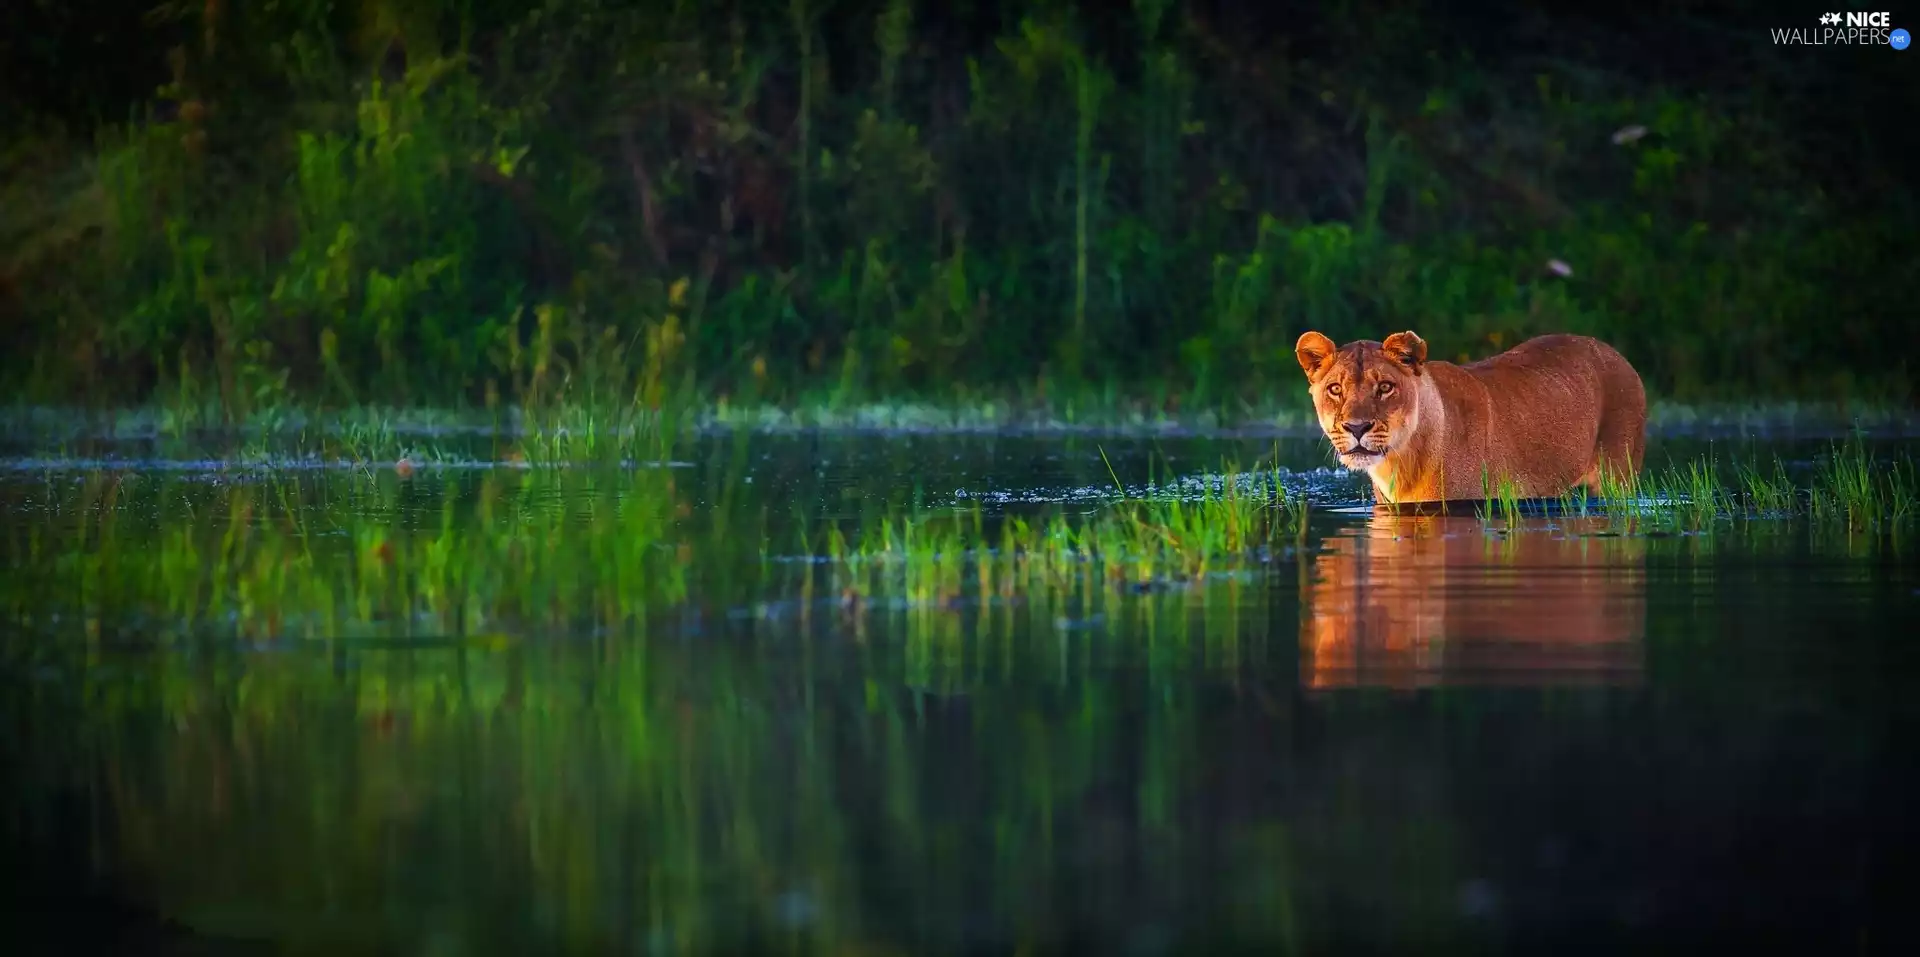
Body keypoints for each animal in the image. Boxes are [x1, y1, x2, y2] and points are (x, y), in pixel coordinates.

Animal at [1294, 330, 1647, 504]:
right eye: (1335, 389)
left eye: (1384, 387)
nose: (1356, 427)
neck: (1401, 463)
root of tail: (1615, 353)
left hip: (1618, 476)